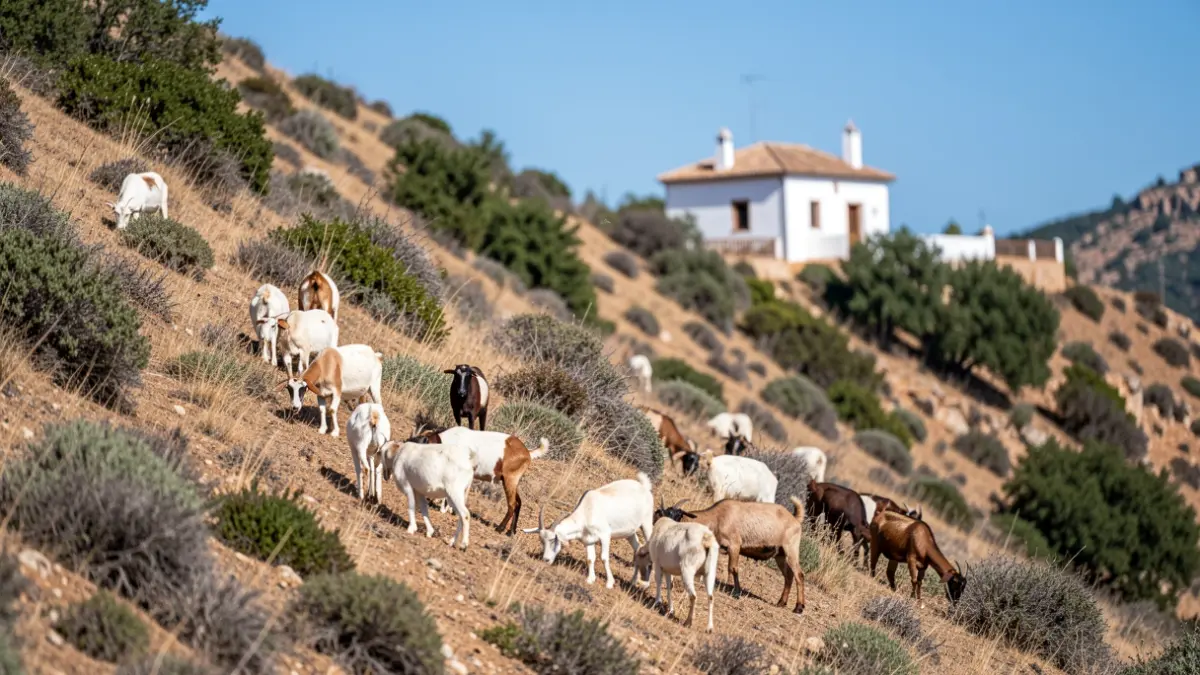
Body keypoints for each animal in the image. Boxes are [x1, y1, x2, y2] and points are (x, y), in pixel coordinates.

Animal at [411, 426, 548, 534]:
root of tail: (527, 453)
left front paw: (445, 509)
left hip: (510, 480)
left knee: (512, 504)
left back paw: (500, 528)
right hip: (512, 482)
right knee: (519, 502)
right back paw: (511, 532)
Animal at [522, 472, 655, 589]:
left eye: (553, 540)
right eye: (542, 541)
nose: (546, 560)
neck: (587, 510)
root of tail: (644, 487)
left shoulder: (605, 536)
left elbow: (604, 557)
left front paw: (609, 583)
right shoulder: (588, 540)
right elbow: (590, 558)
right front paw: (590, 579)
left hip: (646, 524)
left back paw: (645, 584)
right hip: (630, 533)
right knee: (638, 549)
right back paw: (633, 581)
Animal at [656, 496, 807, 614]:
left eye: (678, 515)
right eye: (661, 514)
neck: (718, 517)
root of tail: (795, 519)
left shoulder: (735, 545)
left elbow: (733, 569)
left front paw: (735, 592)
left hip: (791, 550)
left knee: (799, 575)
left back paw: (799, 607)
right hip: (780, 555)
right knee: (788, 576)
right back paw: (781, 602)